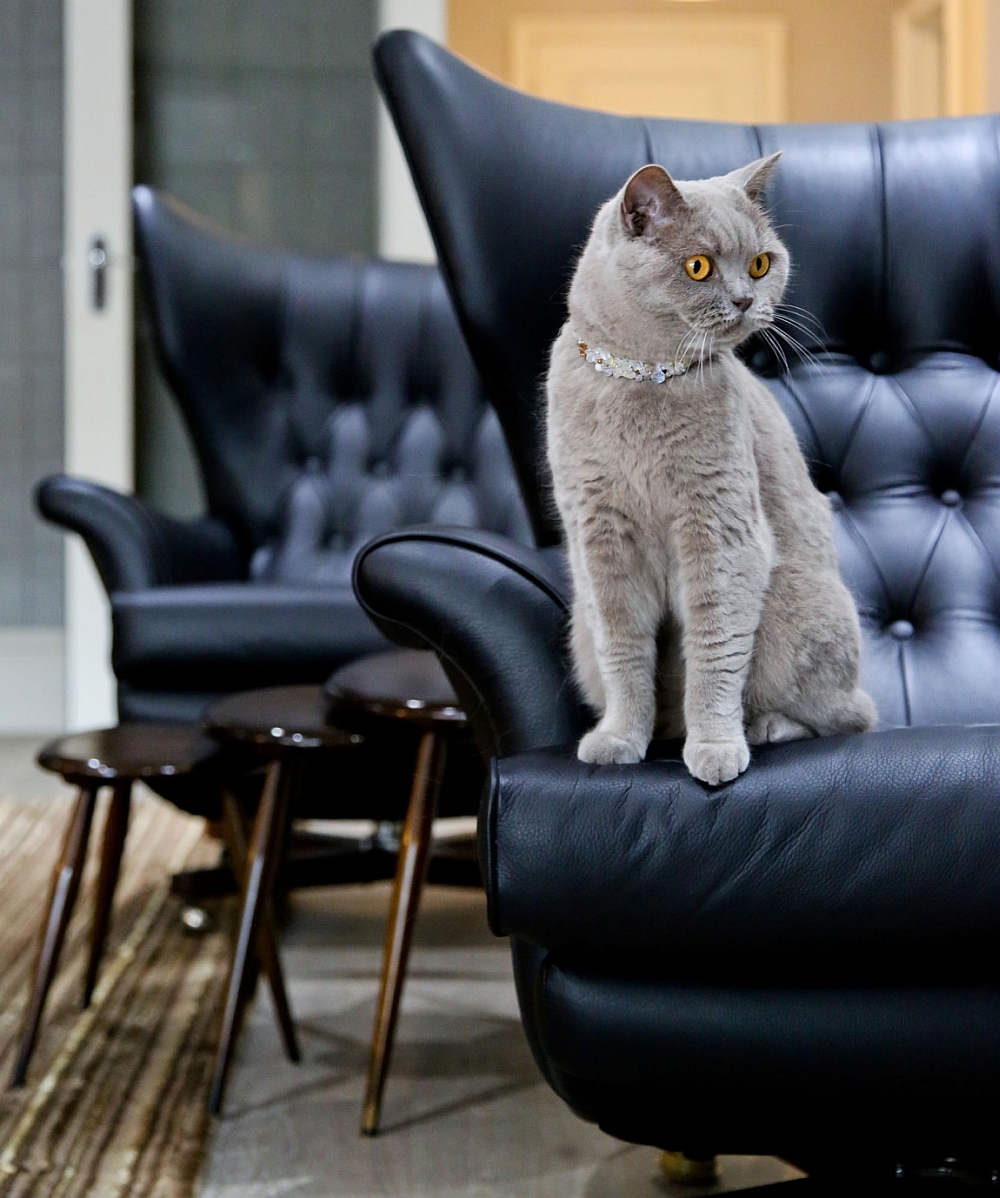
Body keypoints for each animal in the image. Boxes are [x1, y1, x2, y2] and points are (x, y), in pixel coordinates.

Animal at [548, 152, 876, 785]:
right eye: (698, 267)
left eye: (760, 264)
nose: (747, 299)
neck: (644, 377)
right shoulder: (600, 539)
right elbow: (623, 652)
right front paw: (620, 739)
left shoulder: (719, 531)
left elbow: (715, 650)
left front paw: (717, 748)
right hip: (577, 628)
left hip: (798, 605)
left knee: (846, 716)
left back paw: (764, 727)